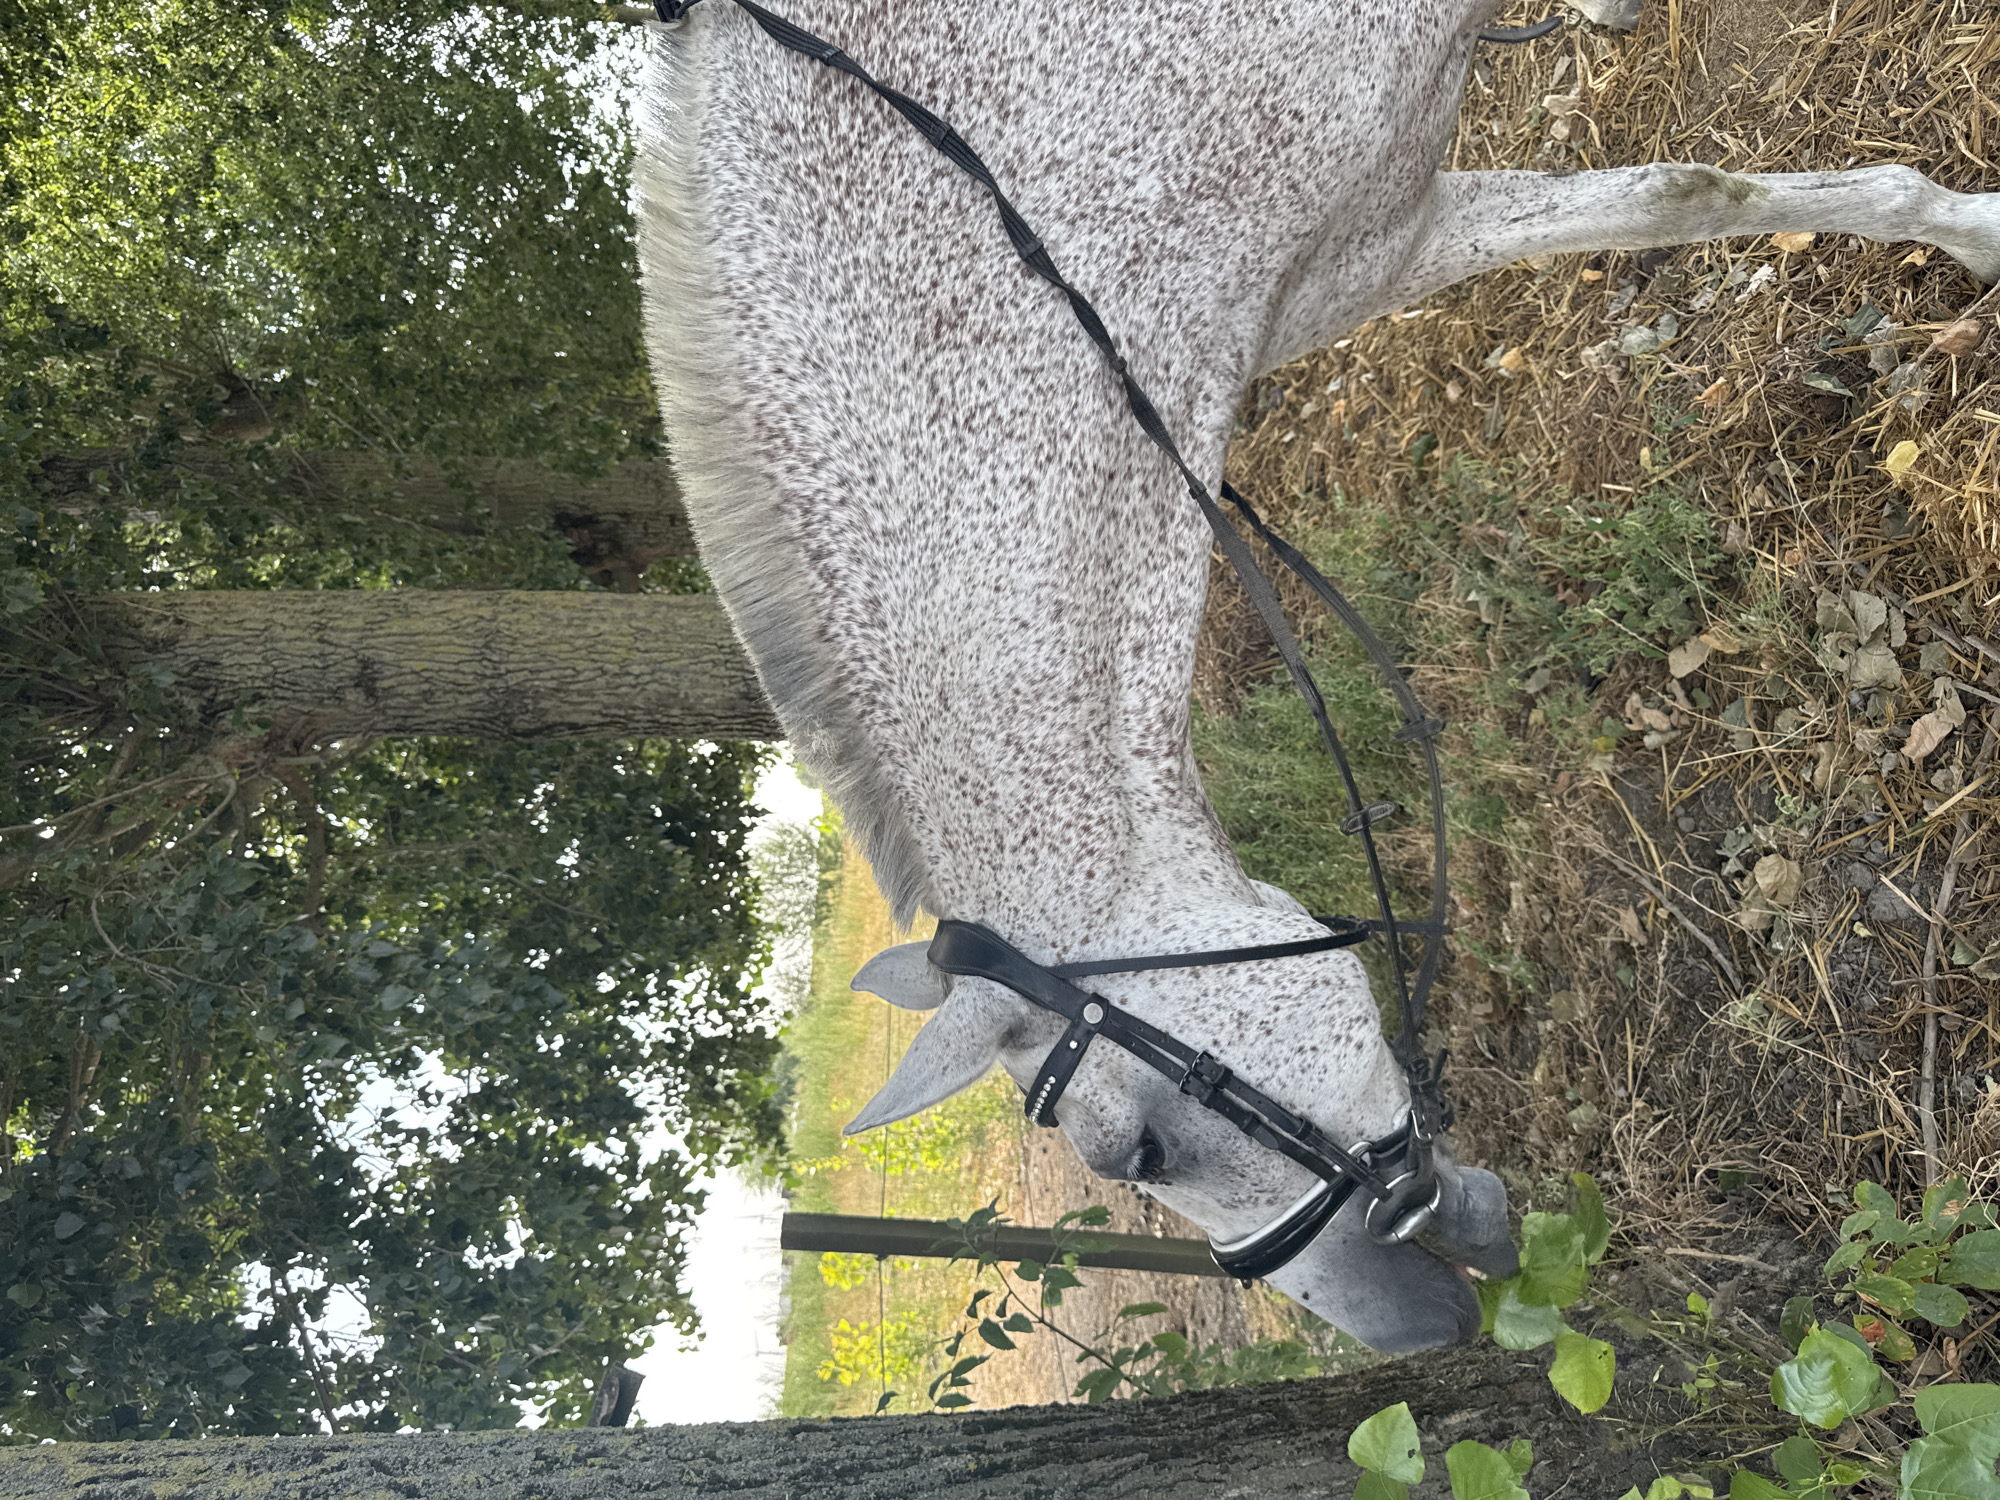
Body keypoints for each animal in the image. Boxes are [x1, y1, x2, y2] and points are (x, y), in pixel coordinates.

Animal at [635, 0, 2000, 1353]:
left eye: (1137, 1153)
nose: (1410, 1335)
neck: (1028, 196)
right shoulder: (1342, 265)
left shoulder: (1379, 222)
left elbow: (1683, 187)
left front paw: (1971, 235)